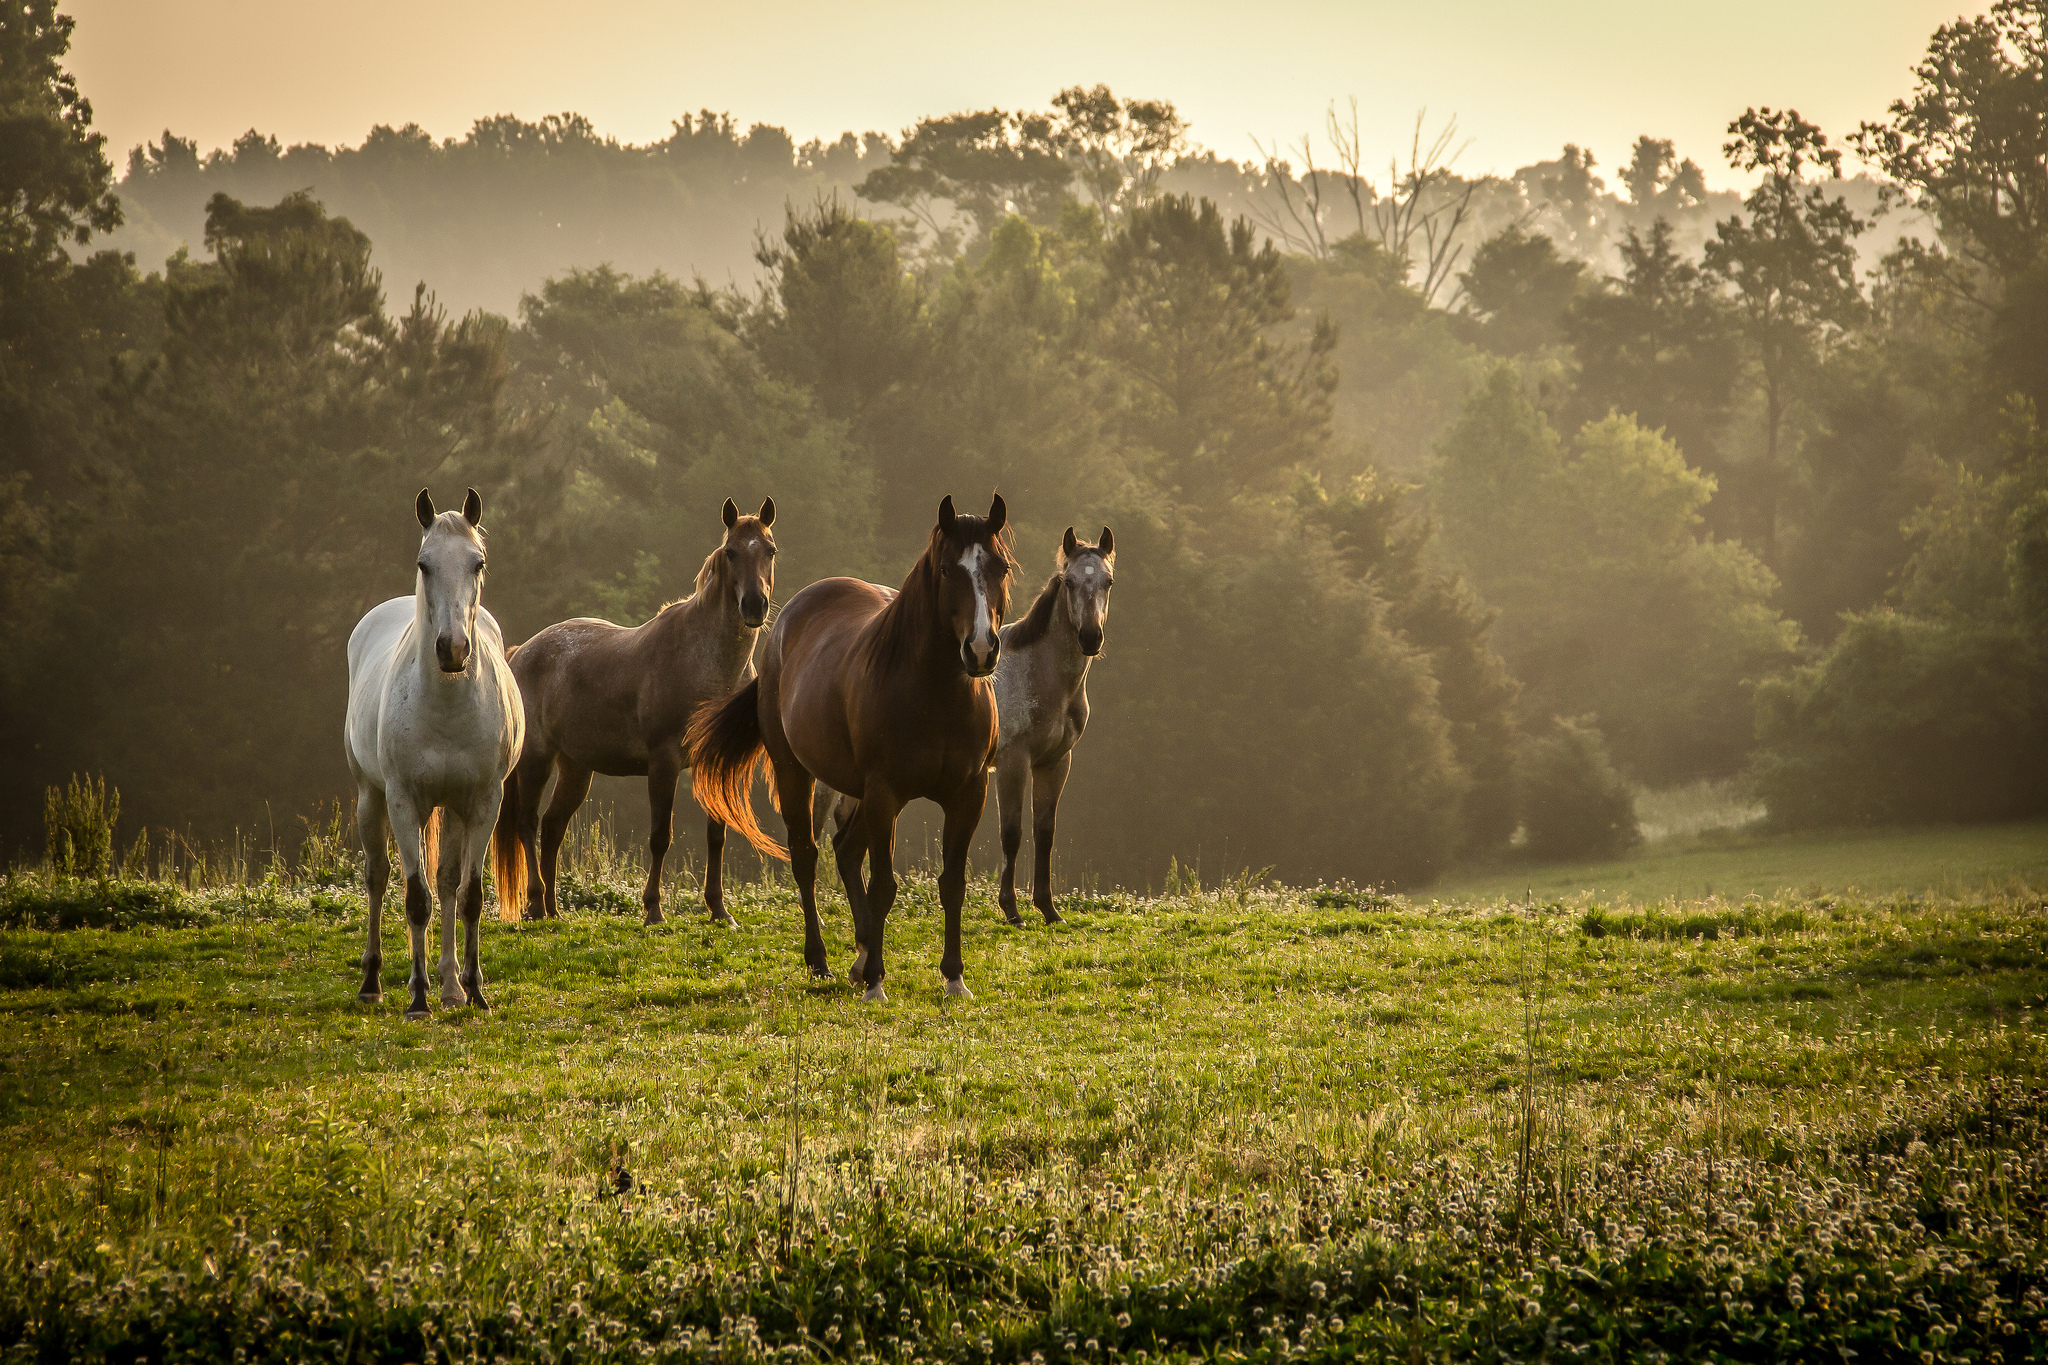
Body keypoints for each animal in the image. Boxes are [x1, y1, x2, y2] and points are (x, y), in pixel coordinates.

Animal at [345, 488, 524, 1020]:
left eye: (477, 562)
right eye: (424, 564)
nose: (453, 649)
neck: (446, 705)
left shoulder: (483, 803)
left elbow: (467, 896)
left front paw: (474, 992)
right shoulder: (404, 802)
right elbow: (415, 899)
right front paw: (418, 999)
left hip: (453, 809)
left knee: (445, 882)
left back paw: (450, 987)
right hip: (371, 797)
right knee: (379, 878)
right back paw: (374, 982)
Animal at [491, 498, 775, 925]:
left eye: (770, 550)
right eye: (731, 552)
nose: (755, 605)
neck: (705, 663)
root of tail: (521, 653)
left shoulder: (712, 761)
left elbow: (717, 835)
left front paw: (719, 909)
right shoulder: (664, 761)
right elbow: (660, 837)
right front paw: (653, 910)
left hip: (576, 768)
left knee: (554, 827)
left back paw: (554, 909)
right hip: (536, 760)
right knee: (528, 824)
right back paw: (537, 902)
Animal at [689, 494, 1012, 1002]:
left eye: (1000, 567)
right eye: (946, 570)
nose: (980, 650)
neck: (936, 696)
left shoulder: (968, 795)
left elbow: (952, 885)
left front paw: (954, 978)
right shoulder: (885, 794)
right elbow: (883, 886)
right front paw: (877, 981)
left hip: (858, 791)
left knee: (844, 849)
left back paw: (859, 956)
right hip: (797, 772)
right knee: (808, 856)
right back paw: (821, 959)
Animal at [992, 526, 1115, 925]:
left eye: (1108, 581)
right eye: (1069, 581)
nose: (1090, 637)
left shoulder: (1055, 763)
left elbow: (1044, 832)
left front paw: (1048, 908)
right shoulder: (1012, 763)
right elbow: (1011, 832)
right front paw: (1011, 909)